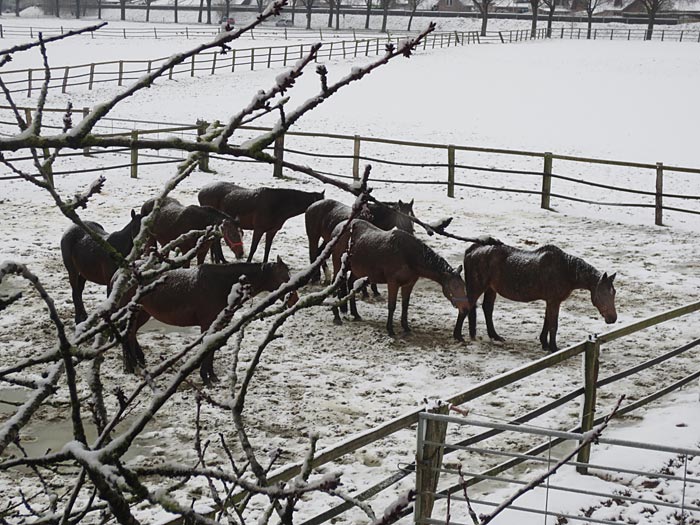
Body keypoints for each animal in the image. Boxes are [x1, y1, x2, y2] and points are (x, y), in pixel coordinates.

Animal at [123, 256, 298, 382]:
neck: (222, 285)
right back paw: (132, 368)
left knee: (130, 335)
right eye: (284, 277)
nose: (294, 300)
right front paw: (205, 377)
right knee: (127, 335)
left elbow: (211, 350)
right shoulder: (208, 324)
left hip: (143, 313)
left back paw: (135, 365)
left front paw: (211, 376)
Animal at [330, 218, 470, 336]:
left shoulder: (409, 284)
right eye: (454, 287)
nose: (466, 308)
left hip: (356, 270)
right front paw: (390, 330)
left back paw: (355, 314)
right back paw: (336, 316)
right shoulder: (393, 282)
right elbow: (392, 306)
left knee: (350, 284)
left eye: (463, 286)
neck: (408, 255)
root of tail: (339, 227)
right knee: (334, 285)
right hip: (339, 265)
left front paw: (406, 327)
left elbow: (405, 305)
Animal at [454, 243, 616, 352]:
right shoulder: (554, 301)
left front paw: (544, 343)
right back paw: (458, 336)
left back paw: (495, 336)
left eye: (613, 293)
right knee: (466, 308)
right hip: (477, 288)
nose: (612, 318)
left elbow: (547, 322)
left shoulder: (550, 301)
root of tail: (472, 250)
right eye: (603, 294)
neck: (565, 270)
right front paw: (554, 348)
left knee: (487, 309)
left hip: (490, 289)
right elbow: (553, 325)